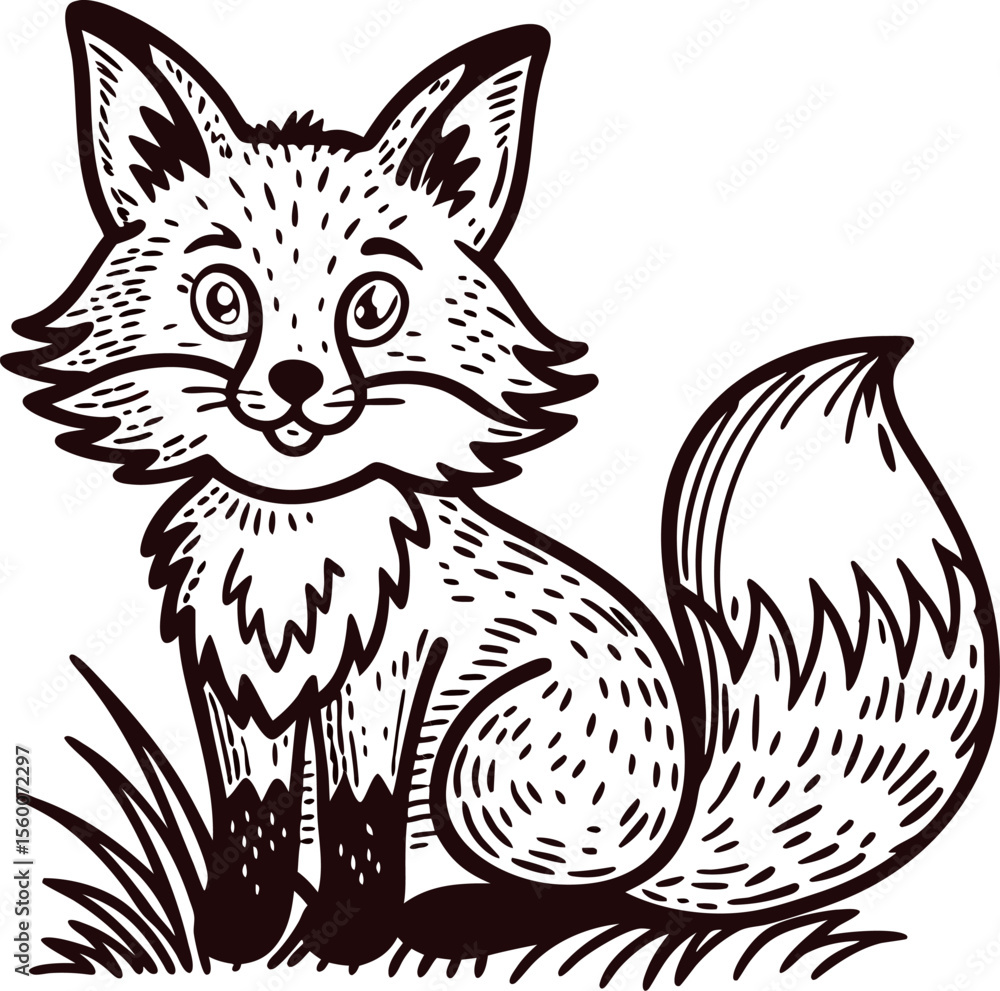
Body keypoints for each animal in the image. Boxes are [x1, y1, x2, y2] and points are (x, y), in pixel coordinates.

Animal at [6, 0, 997, 977]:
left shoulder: (385, 675)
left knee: (601, 897)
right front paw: (238, 940)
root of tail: (681, 823)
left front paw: (346, 938)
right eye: (223, 300)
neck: (292, 539)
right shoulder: (236, 675)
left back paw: (458, 921)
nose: (293, 383)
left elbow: (360, 819)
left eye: (372, 306)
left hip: (481, 755)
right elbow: (252, 820)